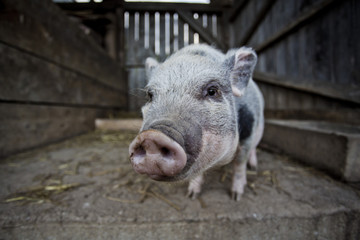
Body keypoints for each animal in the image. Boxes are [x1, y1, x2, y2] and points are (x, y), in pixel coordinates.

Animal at [129, 43, 264, 201]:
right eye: (150, 95)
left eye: (212, 91)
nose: (152, 137)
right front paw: (191, 195)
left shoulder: (248, 132)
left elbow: (239, 164)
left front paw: (236, 196)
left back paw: (253, 167)